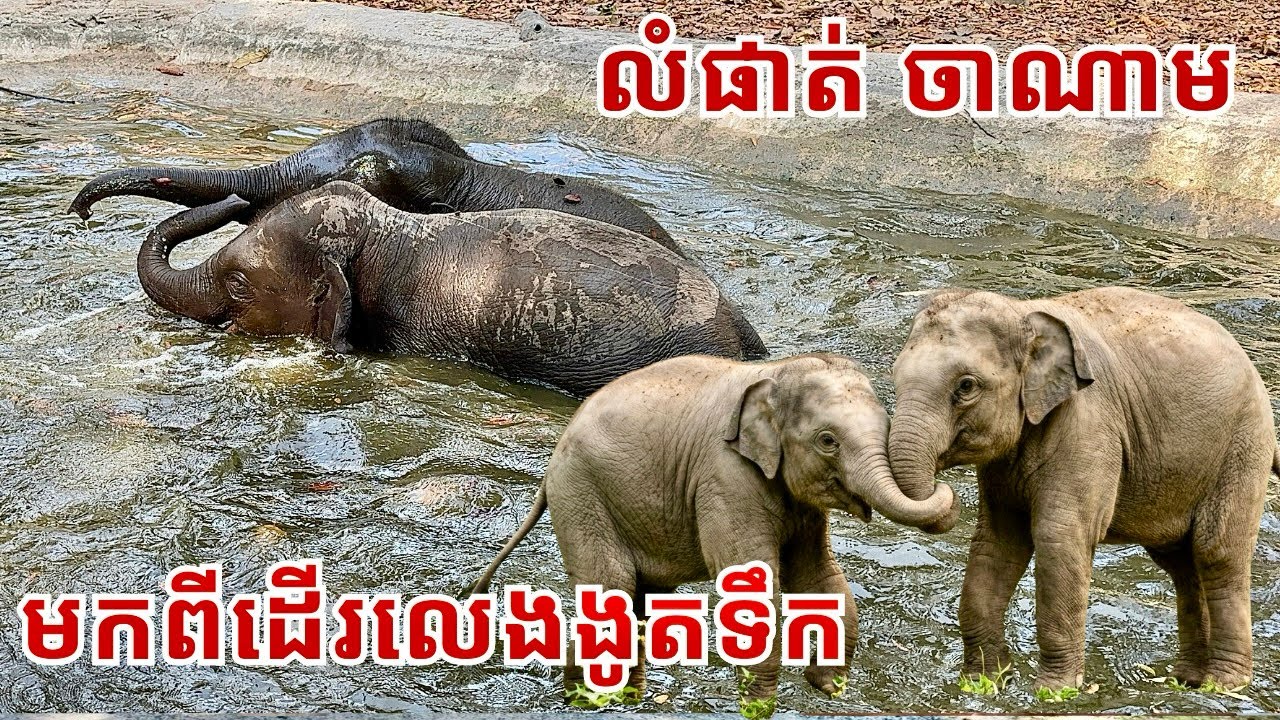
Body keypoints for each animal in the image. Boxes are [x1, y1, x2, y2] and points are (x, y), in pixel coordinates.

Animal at [471, 353, 959, 702]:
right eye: (827, 441)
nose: (945, 487)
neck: (775, 372)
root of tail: (552, 462)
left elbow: (819, 576)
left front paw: (827, 687)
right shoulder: (726, 477)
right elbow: (753, 588)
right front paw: (758, 705)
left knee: (636, 600)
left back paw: (626, 698)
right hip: (583, 495)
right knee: (612, 586)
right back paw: (584, 699)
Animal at [886, 287, 1278, 692]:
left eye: (966, 386)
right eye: (894, 376)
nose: (945, 492)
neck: (1024, 312)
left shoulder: (1088, 424)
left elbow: (1060, 539)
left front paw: (1054, 691)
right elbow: (996, 544)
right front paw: (983, 683)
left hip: (1242, 447)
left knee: (1217, 553)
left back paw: (1224, 686)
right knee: (1181, 564)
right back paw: (1185, 681)